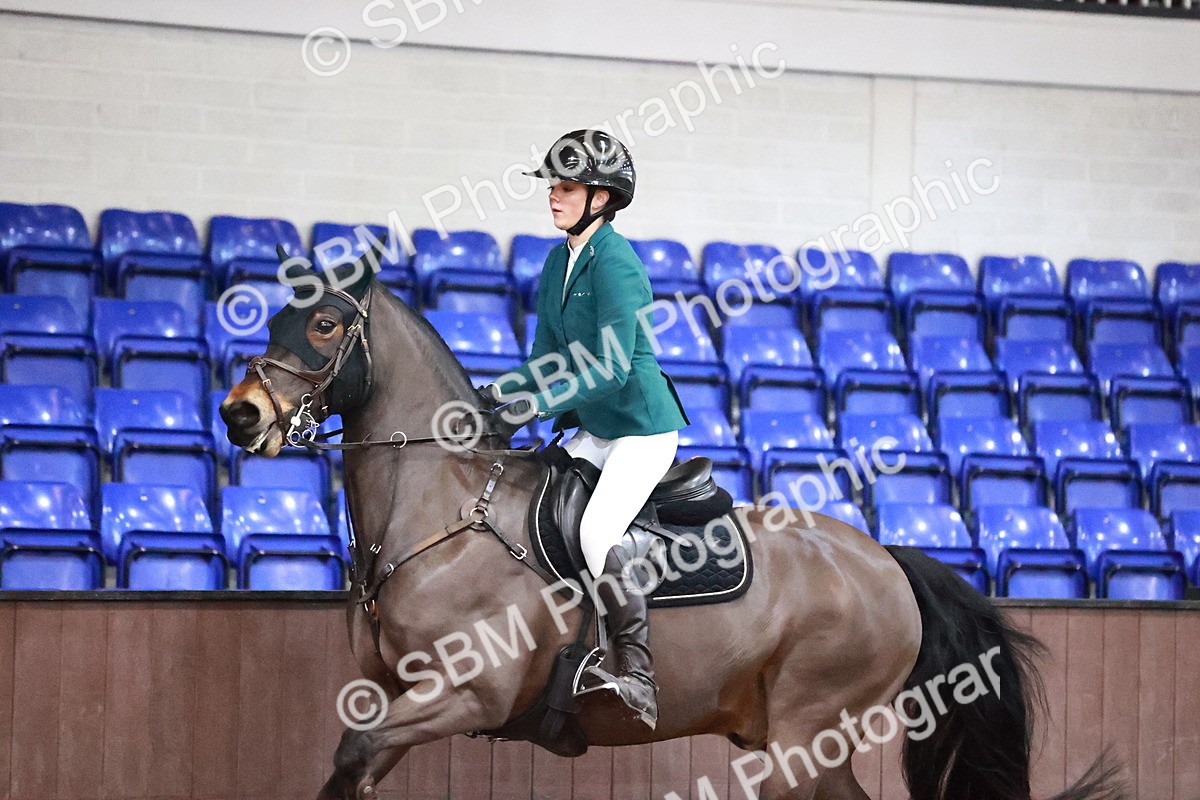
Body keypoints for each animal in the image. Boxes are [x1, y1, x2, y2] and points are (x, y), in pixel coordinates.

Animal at [219, 241, 1126, 800]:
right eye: (271, 320)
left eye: (325, 324)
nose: (239, 414)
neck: (445, 514)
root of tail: (885, 560)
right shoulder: (392, 694)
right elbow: (354, 766)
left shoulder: (468, 694)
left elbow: (352, 757)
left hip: (806, 735)